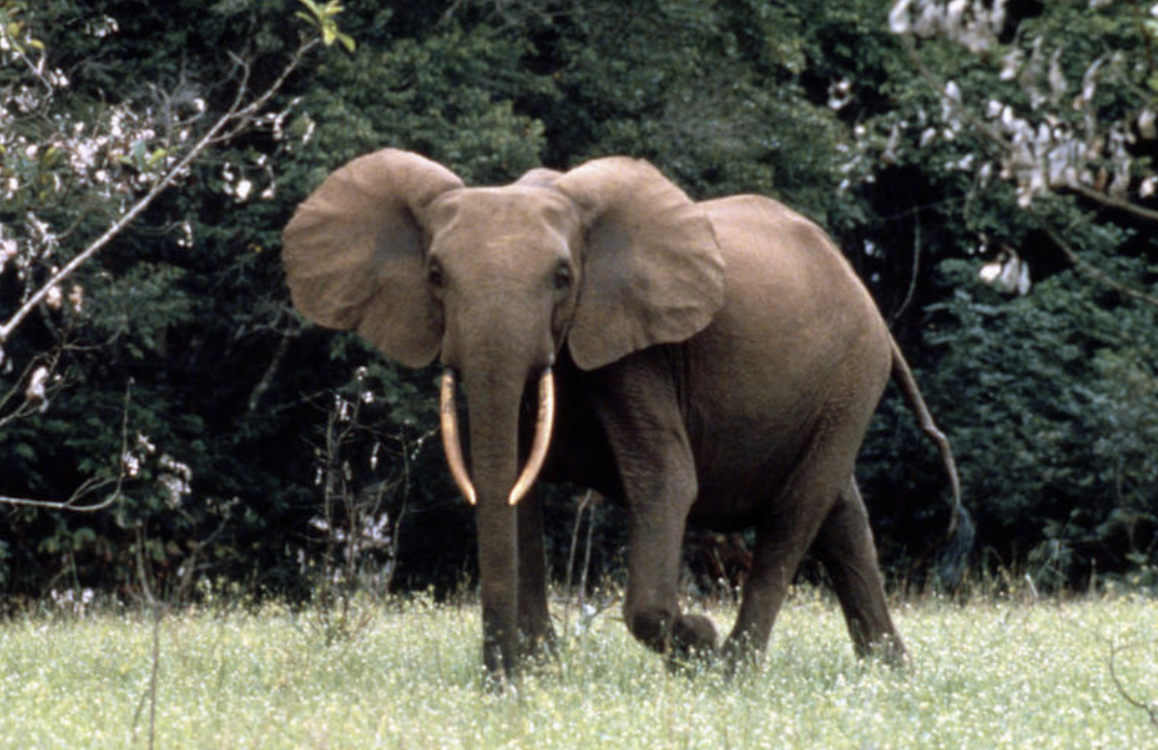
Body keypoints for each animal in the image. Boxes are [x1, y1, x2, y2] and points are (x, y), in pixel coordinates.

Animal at [280, 146, 968, 675]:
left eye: (563, 277)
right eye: (435, 275)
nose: (496, 680)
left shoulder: (637, 352)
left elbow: (666, 480)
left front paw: (695, 641)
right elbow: (513, 484)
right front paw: (541, 672)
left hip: (852, 373)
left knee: (797, 512)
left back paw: (733, 671)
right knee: (842, 517)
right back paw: (890, 673)